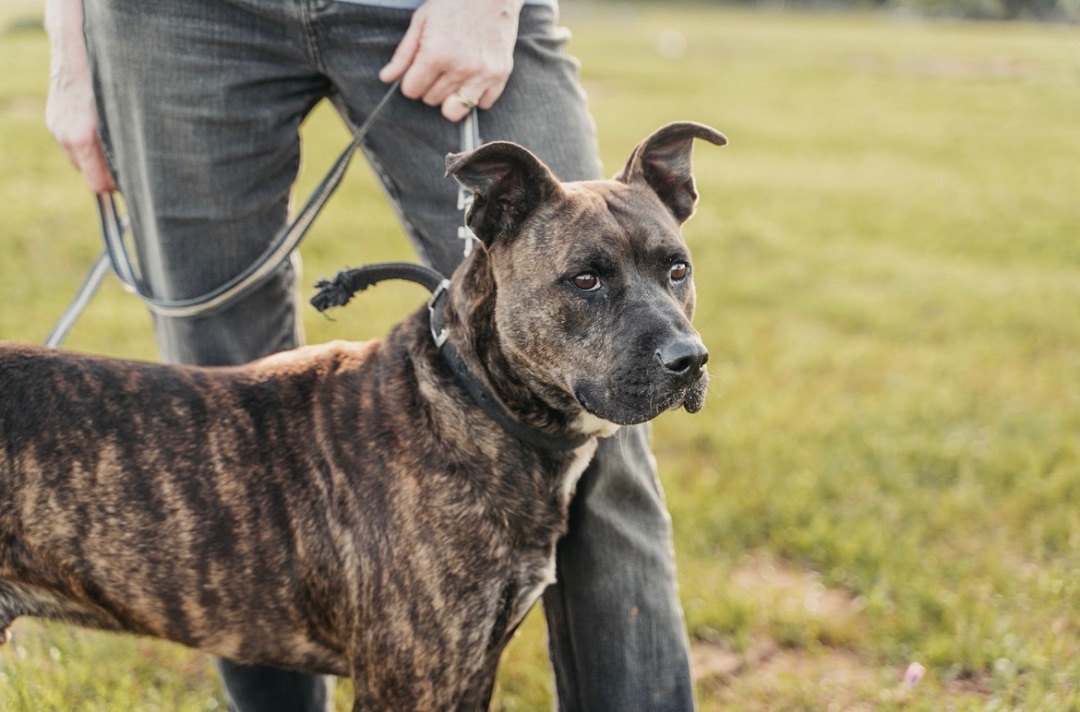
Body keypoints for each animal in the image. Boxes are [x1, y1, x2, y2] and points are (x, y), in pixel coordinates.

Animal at [2, 123, 725, 712]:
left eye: (678, 269)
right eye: (585, 280)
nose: (689, 360)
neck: (467, 404)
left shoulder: (473, 667)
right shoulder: (408, 681)